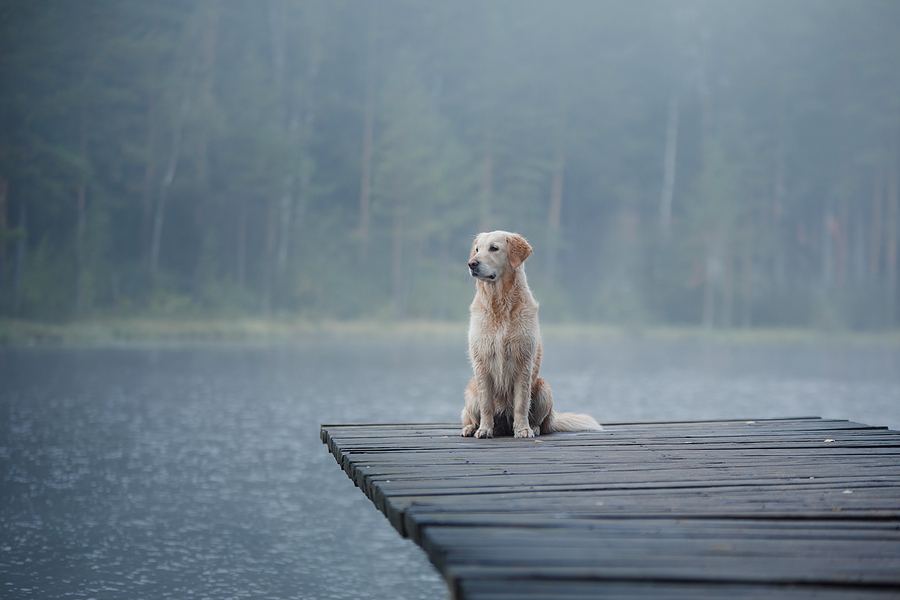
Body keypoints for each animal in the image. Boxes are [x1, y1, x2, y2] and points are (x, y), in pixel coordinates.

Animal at [460, 232, 600, 438]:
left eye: (494, 248)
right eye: (477, 249)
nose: (472, 263)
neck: (500, 303)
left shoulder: (523, 361)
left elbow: (521, 403)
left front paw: (523, 430)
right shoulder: (482, 362)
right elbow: (486, 404)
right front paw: (484, 429)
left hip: (544, 389)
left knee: (543, 422)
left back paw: (532, 427)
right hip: (471, 393)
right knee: (470, 415)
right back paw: (470, 428)